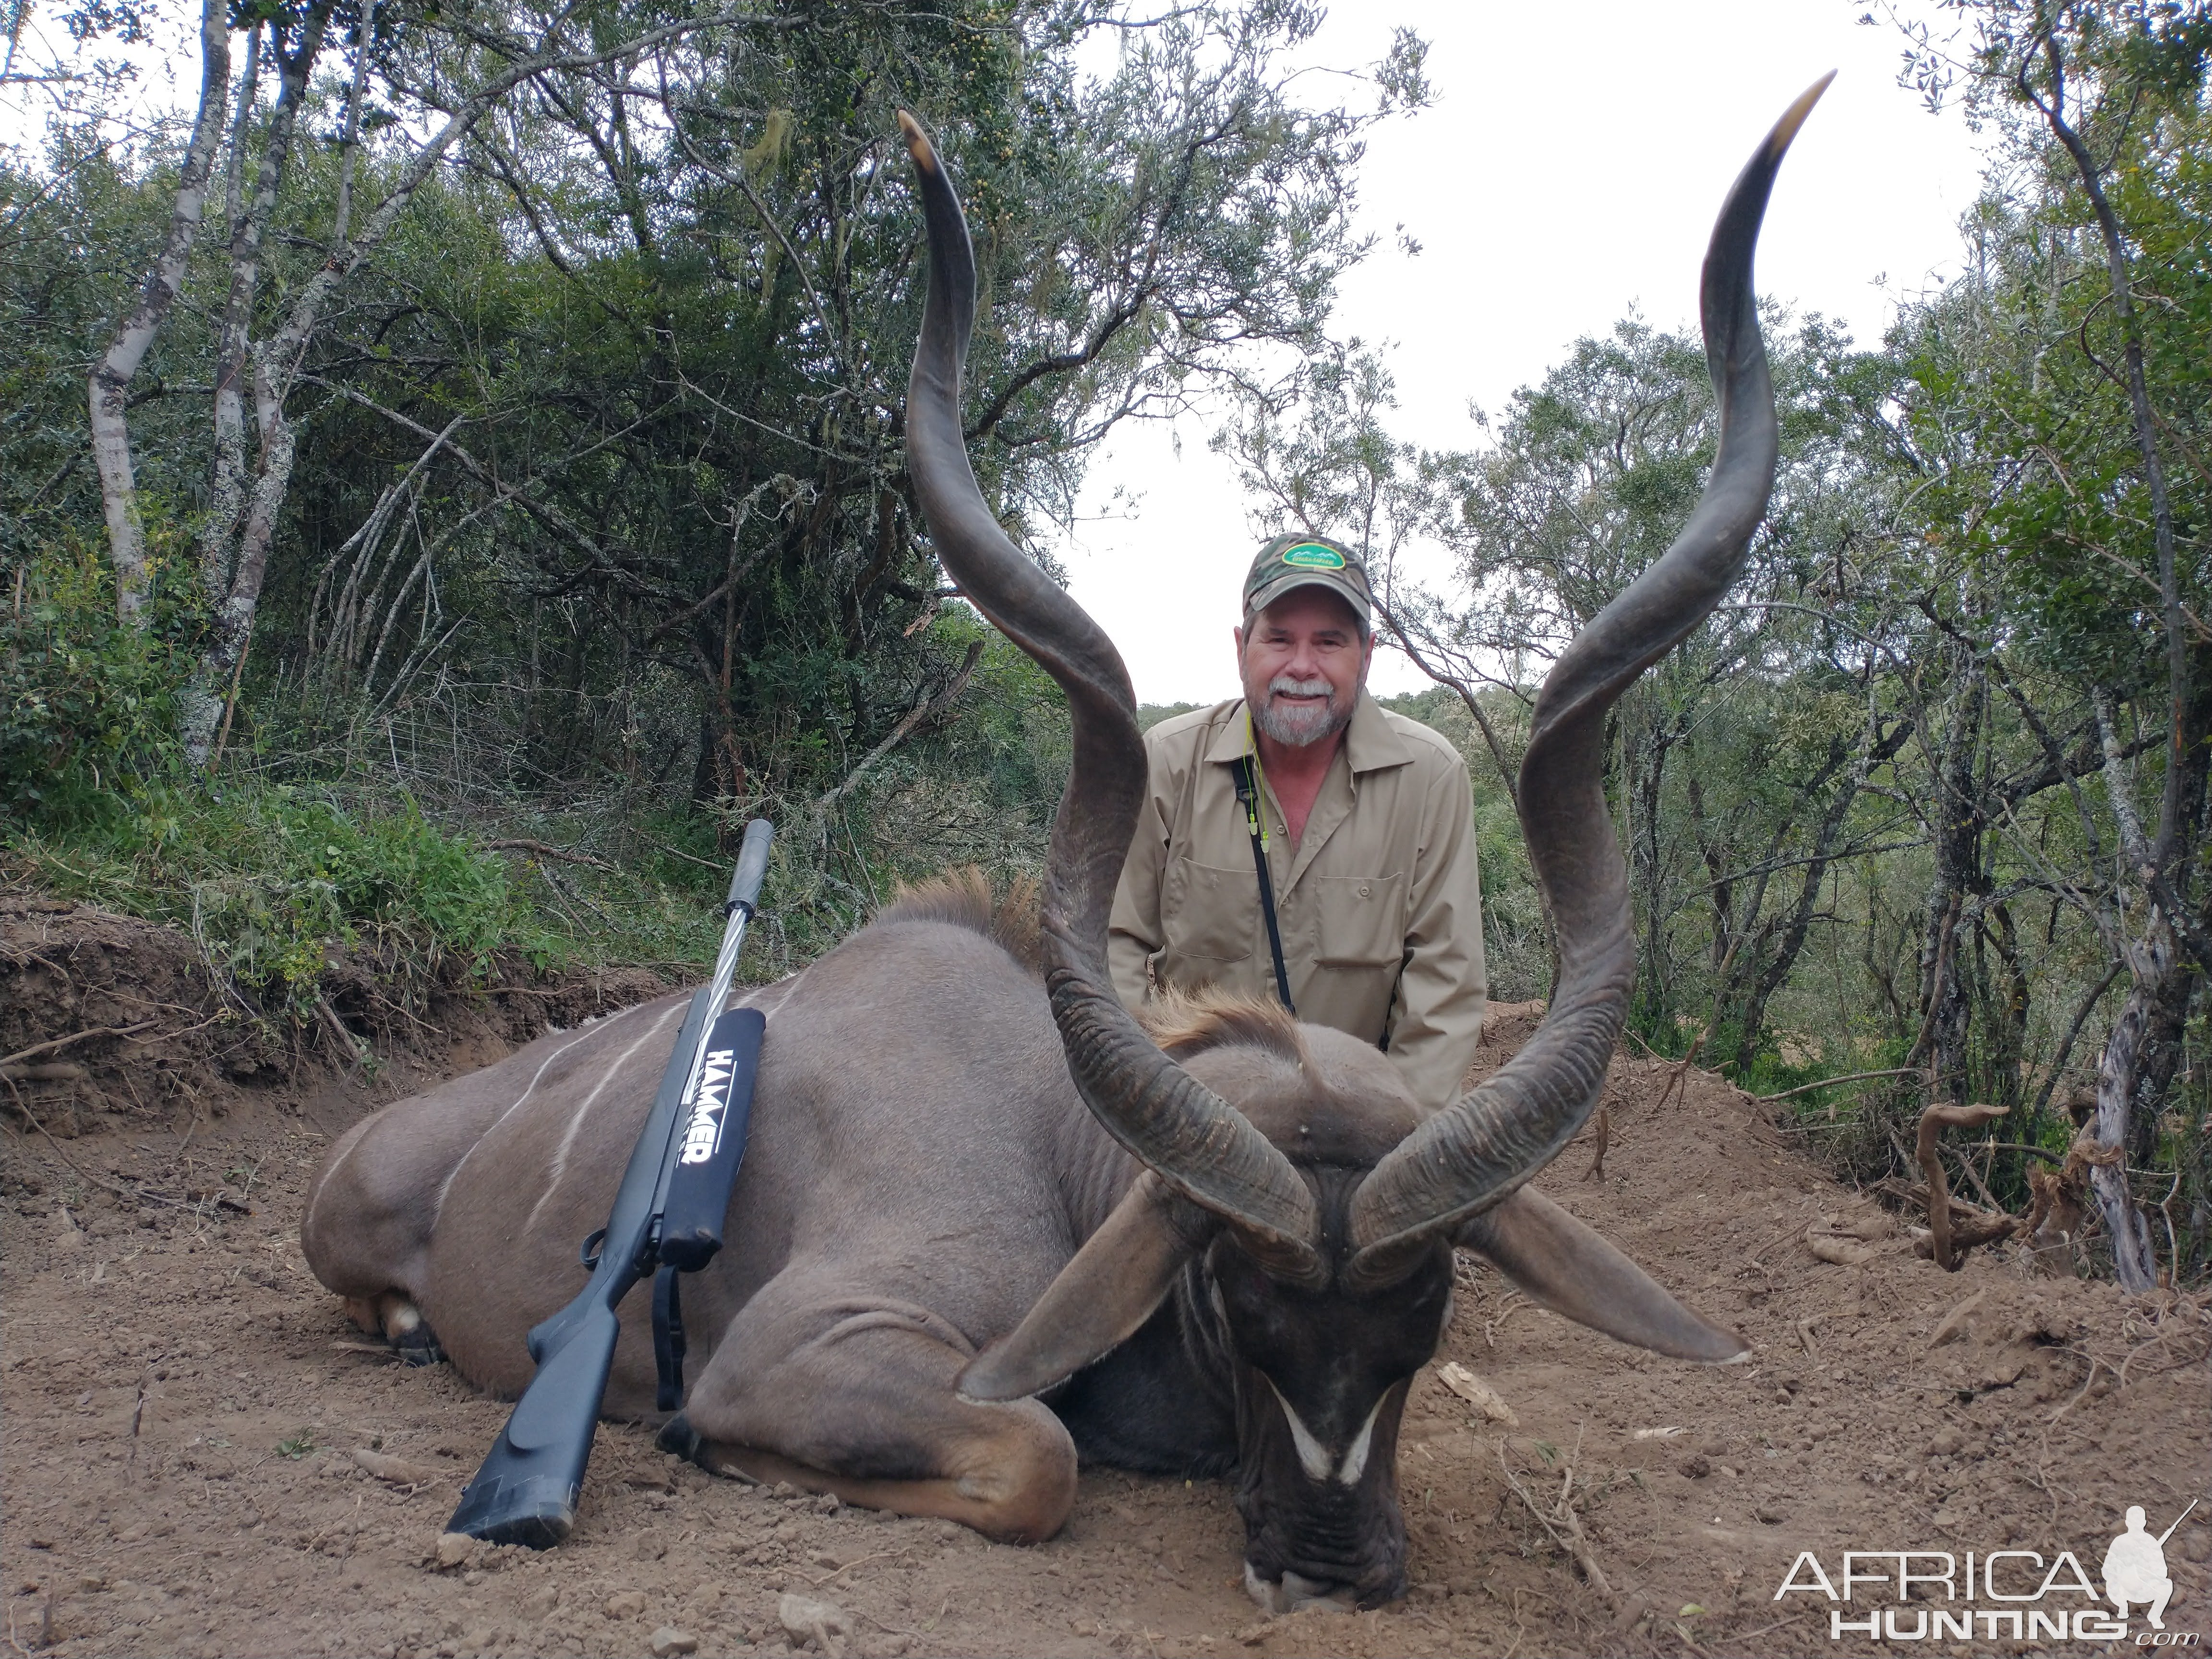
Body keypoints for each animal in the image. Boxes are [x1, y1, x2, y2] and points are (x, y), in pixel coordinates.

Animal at [312, 84, 1831, 1619]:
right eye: (1234, 1302)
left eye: (1426, 1319)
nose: (1329, 1569)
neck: (1057, 1141)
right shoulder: (814, 1341)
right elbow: (1036, 1455)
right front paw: (708, 1442)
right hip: (345, 1222)